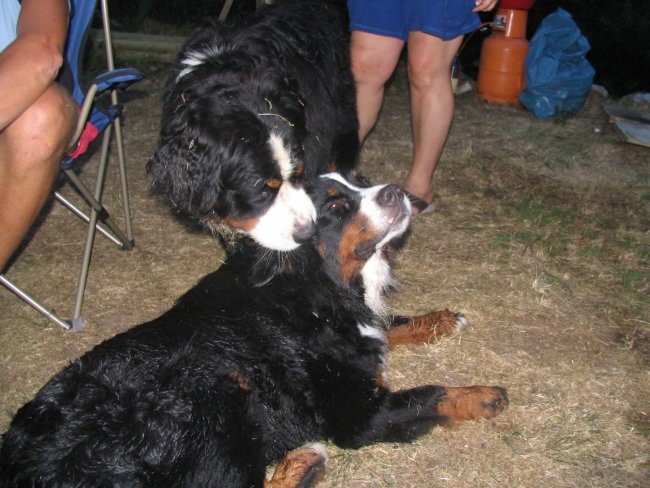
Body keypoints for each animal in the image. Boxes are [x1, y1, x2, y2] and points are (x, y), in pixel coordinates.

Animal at [0, 175, 506, 488]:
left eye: (359, 179)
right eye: (337, 204)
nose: (399, 191)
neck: (313, 283)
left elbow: (388, 325)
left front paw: (442, 318)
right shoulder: (359, 416)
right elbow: (430, 393)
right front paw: (483, 394)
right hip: (220, 399)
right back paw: (306, 460)